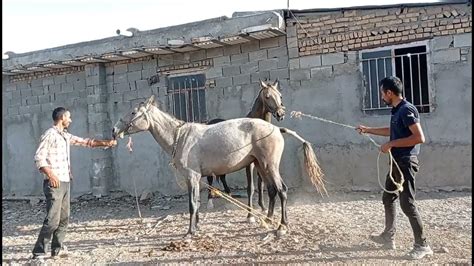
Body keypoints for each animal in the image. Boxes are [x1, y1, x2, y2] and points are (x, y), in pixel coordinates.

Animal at [112, 94, 326, 236]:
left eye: (133, 112)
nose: (114, 130)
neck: (180, 137)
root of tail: (275, 128)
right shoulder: (195, 179)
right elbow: (197, 202)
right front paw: (196, 227)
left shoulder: (192, 176)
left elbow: (192, 204)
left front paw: (189, 232)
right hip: (260, 165)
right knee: (273, 190)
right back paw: (267, 219)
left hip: (270, 166)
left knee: (282, 190)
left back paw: (282, 226)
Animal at [205, 79, 286, 216]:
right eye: (267, 96)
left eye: (280, 96)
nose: (280, 114)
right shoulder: (250, 164)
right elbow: (251, 187)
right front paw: (250, 214)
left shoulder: (260, 162)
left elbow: (260, 184)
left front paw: (263, 207)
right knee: (210, 178)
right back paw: (210, 202)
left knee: (222, 176)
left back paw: (229, 195)